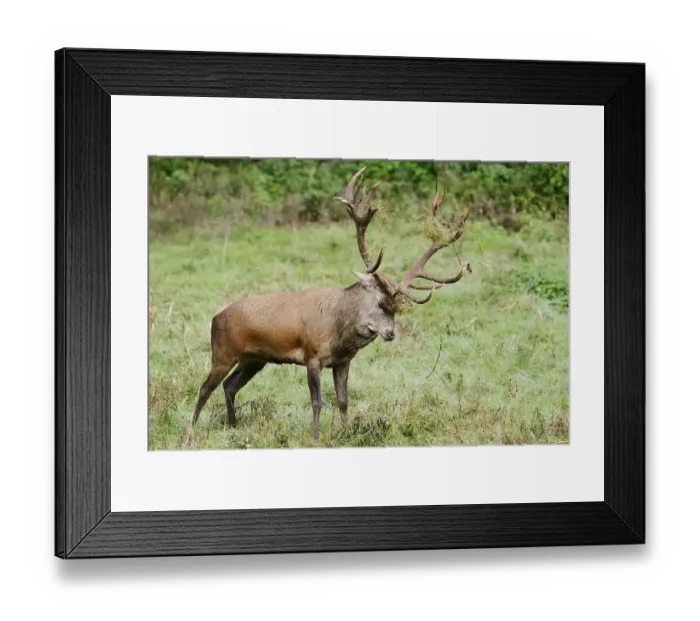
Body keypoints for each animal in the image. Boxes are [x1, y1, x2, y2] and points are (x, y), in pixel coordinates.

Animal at [189, 168, 470, 443]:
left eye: (397, 309)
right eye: (380, 303)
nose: (390, 333)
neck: (338, 332)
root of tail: (217, 315)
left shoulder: (343, 361)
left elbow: (343, 401)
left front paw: (344, 433)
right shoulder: (312, 356)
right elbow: (317, 402)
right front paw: (316, 438)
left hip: (255, 359)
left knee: (229, 386)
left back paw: (233, 427)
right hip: (223, 352)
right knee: (204, 387)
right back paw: (192, 430)